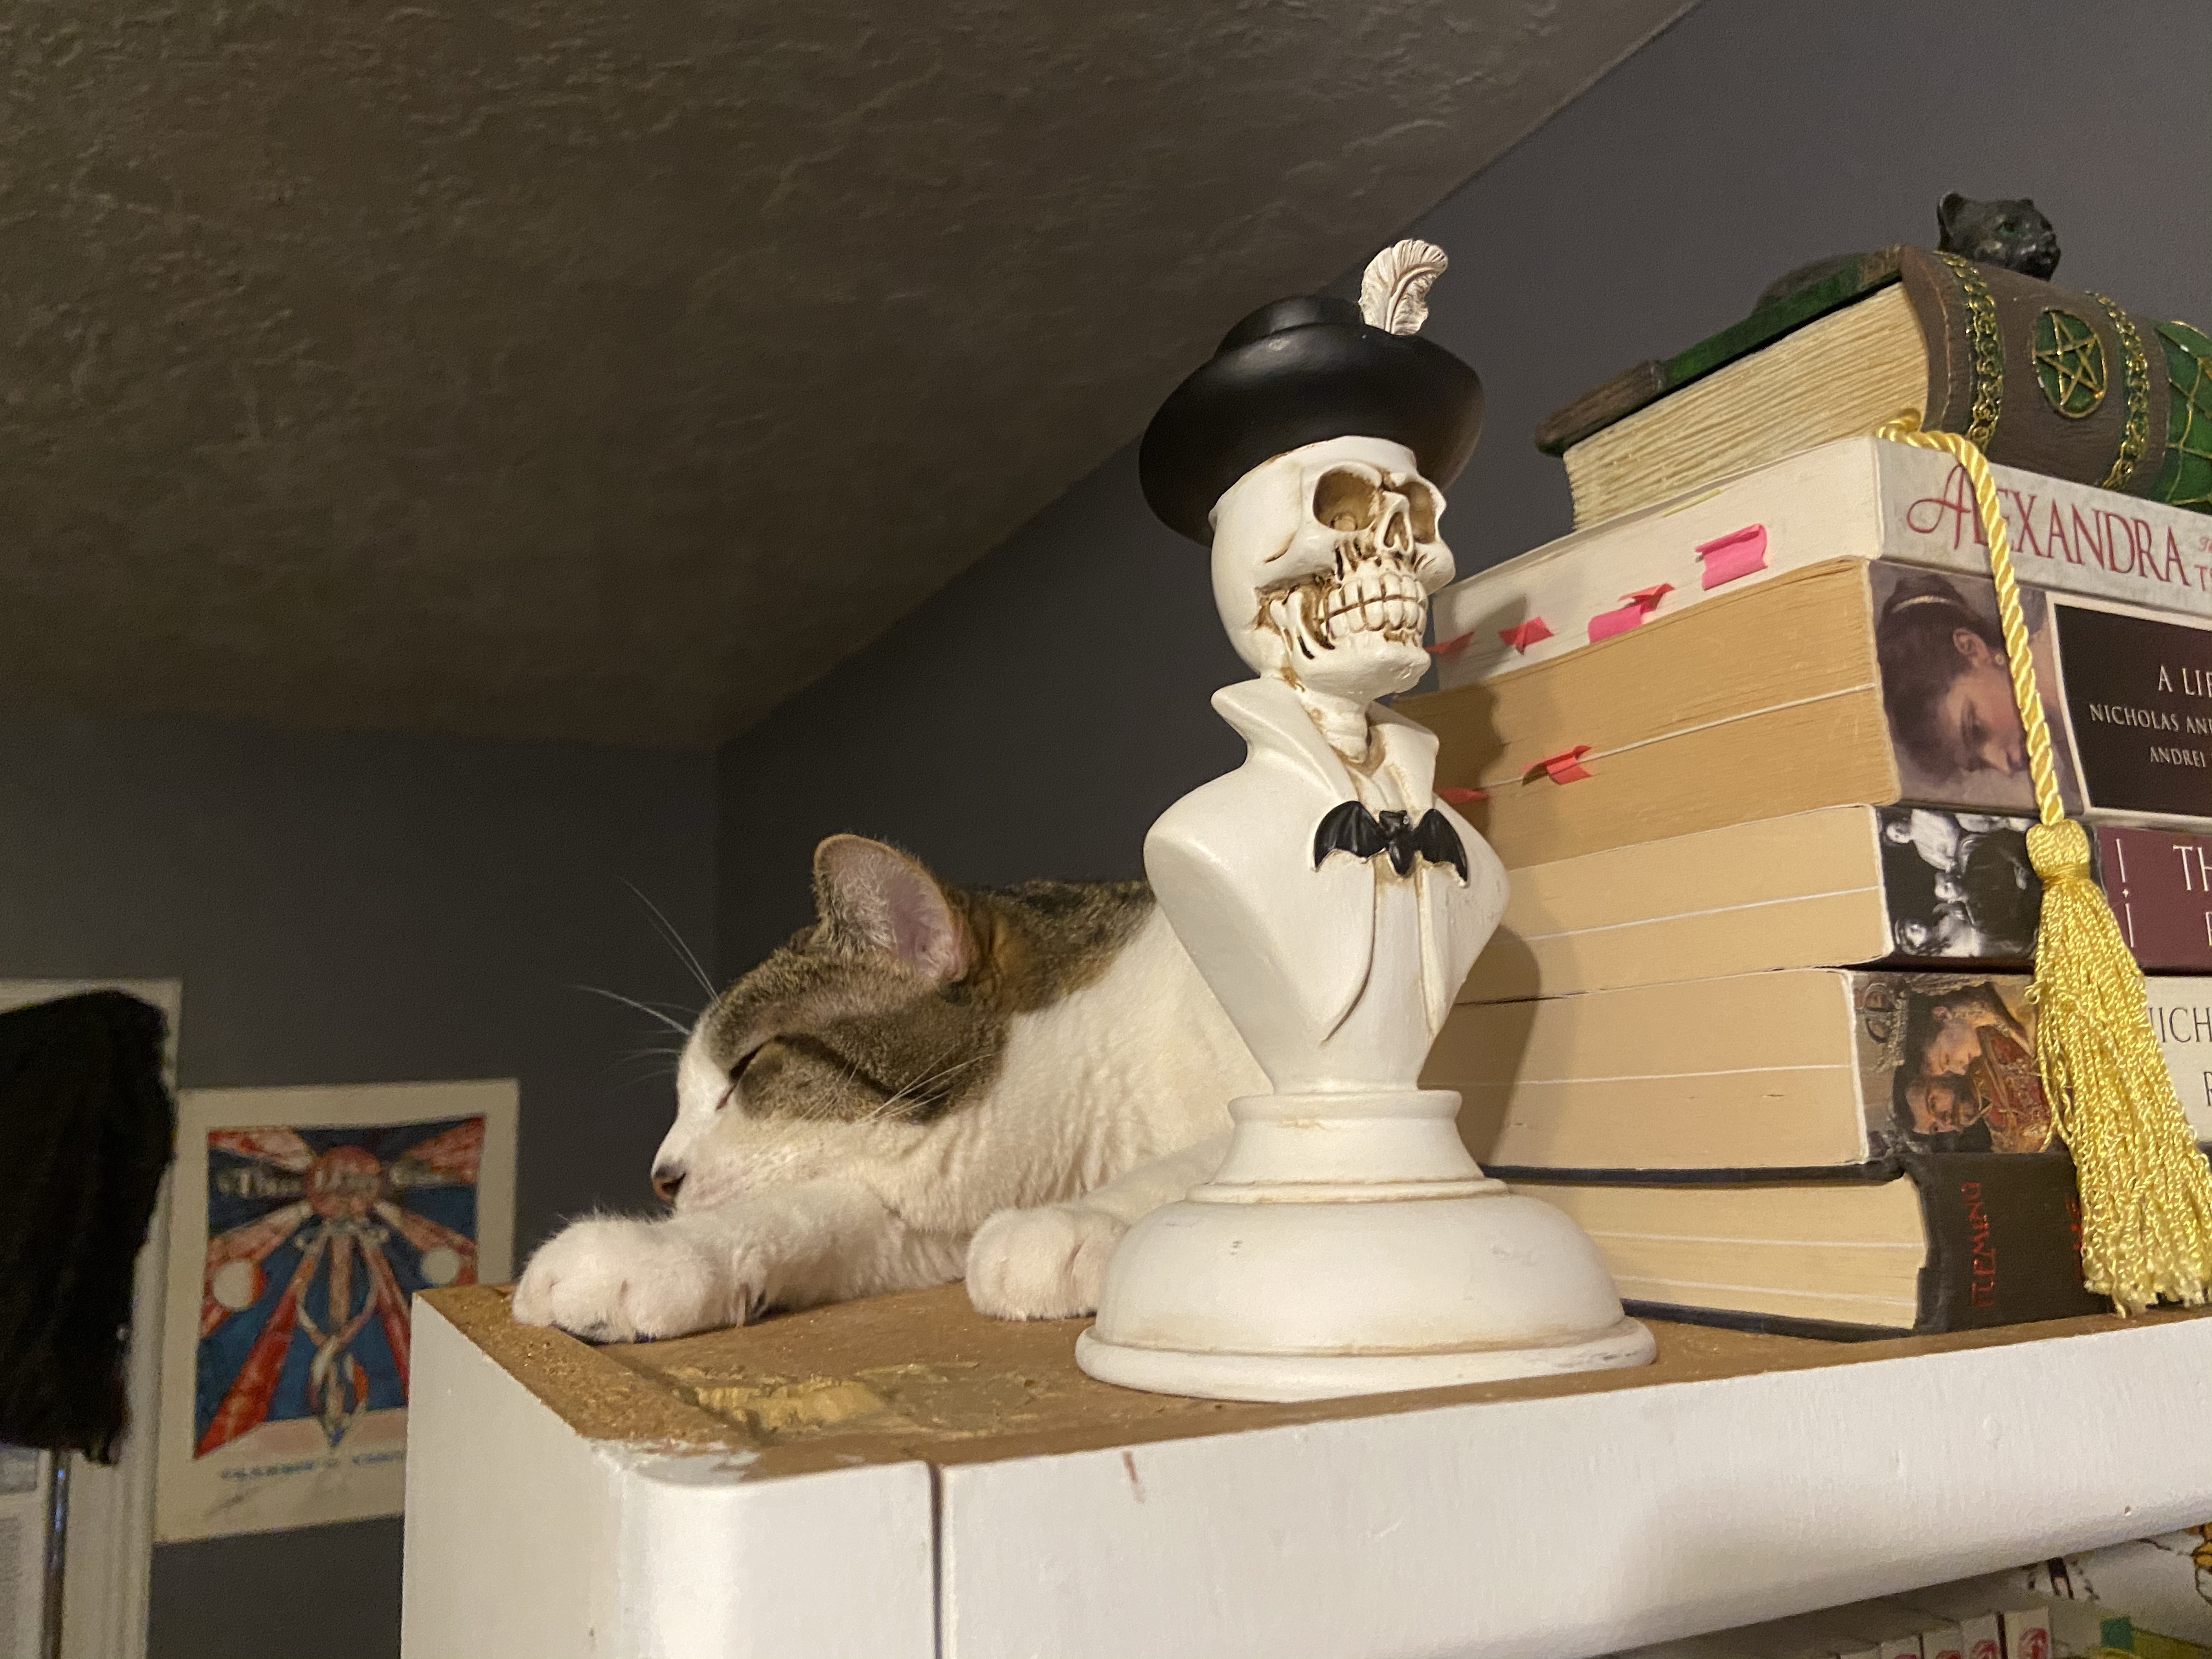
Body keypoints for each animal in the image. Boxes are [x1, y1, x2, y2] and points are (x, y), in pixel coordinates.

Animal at [510, 834, 1265, 1342]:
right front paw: (655, 1254)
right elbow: (829, 1212)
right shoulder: (924, 1229)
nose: (662, 1177)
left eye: (746, 1069)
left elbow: (1225, 1156)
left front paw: (1077, 1221)